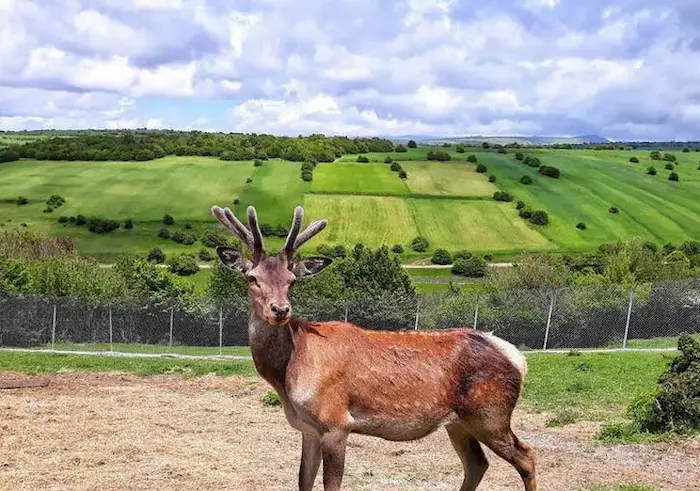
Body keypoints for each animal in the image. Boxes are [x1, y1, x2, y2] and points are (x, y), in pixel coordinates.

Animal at [208, 204, 536, 491]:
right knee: (477, 464)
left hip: (490, 414)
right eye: (252, 277)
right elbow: (303, 482)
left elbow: (331, 485)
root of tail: (517, 357)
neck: (289, 373)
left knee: (526, 456)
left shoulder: (336, 422)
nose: (280, 309)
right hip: (459, 423)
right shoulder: (308, 428)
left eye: (292, 280)